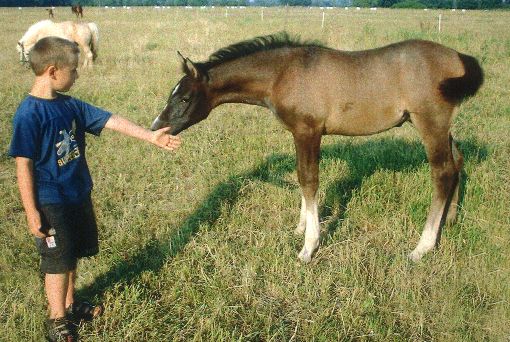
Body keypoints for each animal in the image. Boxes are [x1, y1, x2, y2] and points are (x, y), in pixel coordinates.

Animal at [150, 32, 482, 262]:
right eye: (172, 94)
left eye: (185, 97)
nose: (156, 128)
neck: (284, 73)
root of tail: (459, 57)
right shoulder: (300, 133)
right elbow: (302, 178)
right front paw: (301, 227)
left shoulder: (308, 131)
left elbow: (308, 180)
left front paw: (309, 247)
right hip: (439, 127)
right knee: (457, 162)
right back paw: (449, 221)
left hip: (430, 124)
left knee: (442, 172)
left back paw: (421, 248)